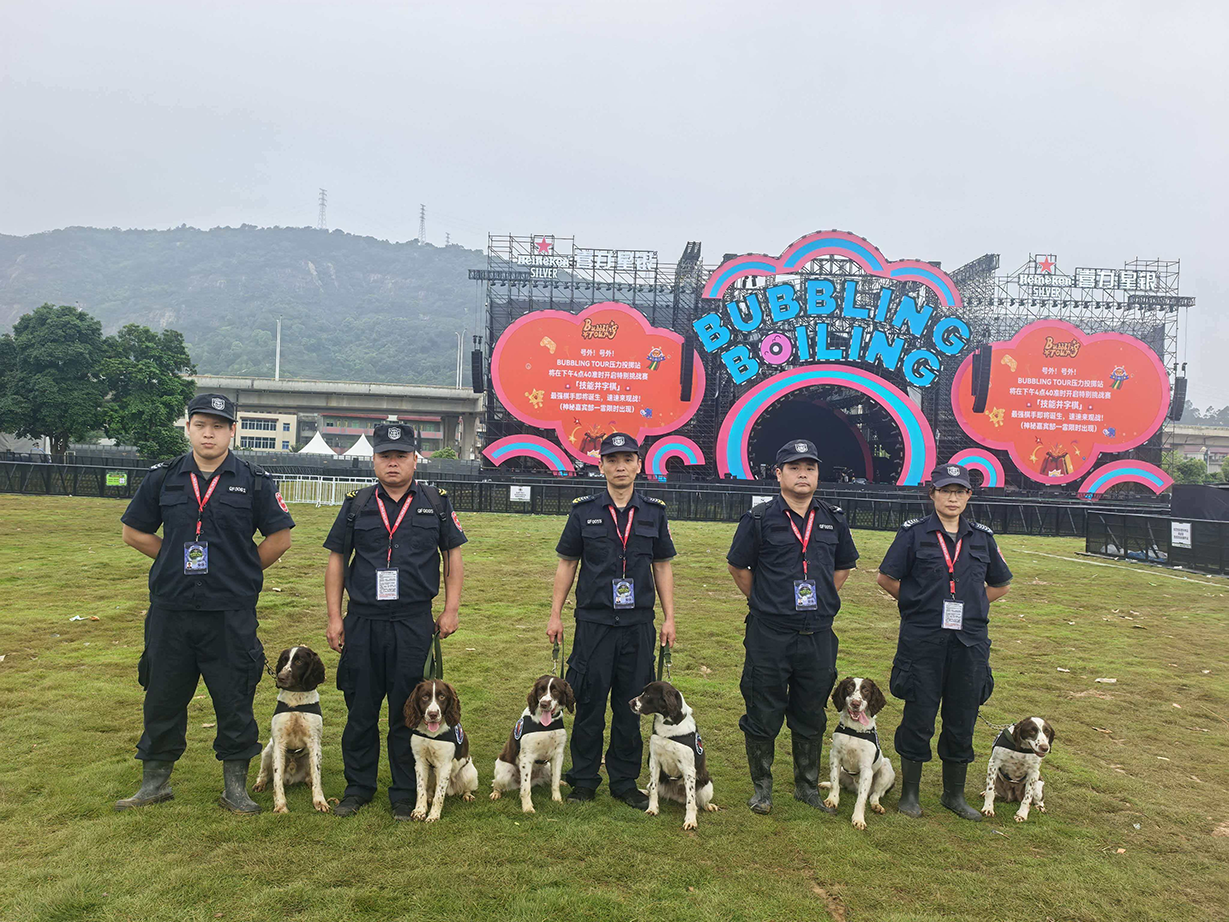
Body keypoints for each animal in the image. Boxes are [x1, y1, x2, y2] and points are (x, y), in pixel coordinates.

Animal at [253, 646, 329, 814]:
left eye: (299, 661)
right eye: (283, 660)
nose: (280, 678)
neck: (296, 699)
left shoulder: (314, 744)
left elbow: (317, 777)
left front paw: (319, 801)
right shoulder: (279, 744)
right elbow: (277, 780)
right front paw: (280, 804)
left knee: (311, 776)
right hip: (268, 751)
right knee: (264, 773)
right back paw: (260, 783)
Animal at [403, 680, 479, 822]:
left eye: (442, 697)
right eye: (424, 697)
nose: (433, 714)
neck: (431, 734)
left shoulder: (444, 765)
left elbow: (439, 795)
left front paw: (433, 816)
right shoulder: (420, 762)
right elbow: (420, 789)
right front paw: (420, 811)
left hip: (469, 773)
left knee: (466, 788)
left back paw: (467, 795)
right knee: (430, 791)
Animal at [491, 675, 574, 813]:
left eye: (555, 690)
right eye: (540, 690)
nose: (544, 704)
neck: (545, 725)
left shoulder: (558, 755)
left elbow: (555, 781)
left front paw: (557, 799)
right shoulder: (527, 757)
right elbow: (525, 788)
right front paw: (527, 807)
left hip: (546, 767)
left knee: (551, 778)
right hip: (504, 773)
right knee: (497, 783)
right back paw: (496, 793)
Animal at [629, 680, 717, 830]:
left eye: (648, 695)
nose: (630, 702)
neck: (670, 726)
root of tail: (677, 796)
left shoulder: (688, 769)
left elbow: (691, 801)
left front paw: (690, 820)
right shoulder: (654, 761)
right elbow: (654, 789)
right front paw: (652, 809)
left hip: (707, 785)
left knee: (699, 802)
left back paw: (709, 806)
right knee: (652, 788)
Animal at [821, 676, 896, 830]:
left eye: (866, 690)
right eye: (849, 687)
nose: (856, 703)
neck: (854, 729)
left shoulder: (866, 769)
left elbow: (861, 798)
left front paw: (859, 819)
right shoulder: (835, 757)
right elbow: (834, 783)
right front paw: (832, 800)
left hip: (886, 768)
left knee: (874, 795)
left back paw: (876, 805)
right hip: (843, 771)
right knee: (840, 784)